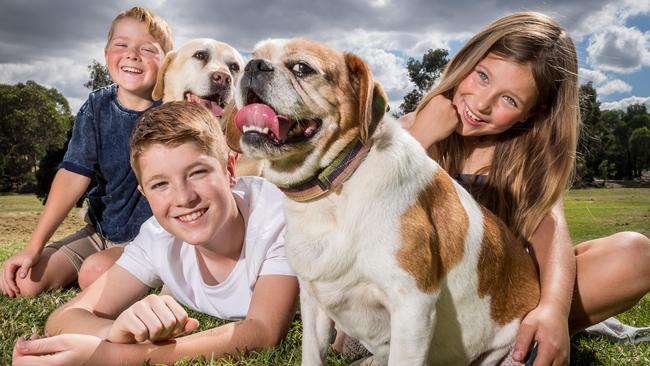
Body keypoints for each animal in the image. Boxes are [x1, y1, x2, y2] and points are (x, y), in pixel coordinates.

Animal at [225, 38, 540, 364]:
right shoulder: (313, 302)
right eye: (253, 57)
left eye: (302, 67)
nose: (253, 66)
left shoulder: (412, 307)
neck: (336, 189)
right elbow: (312, 354)